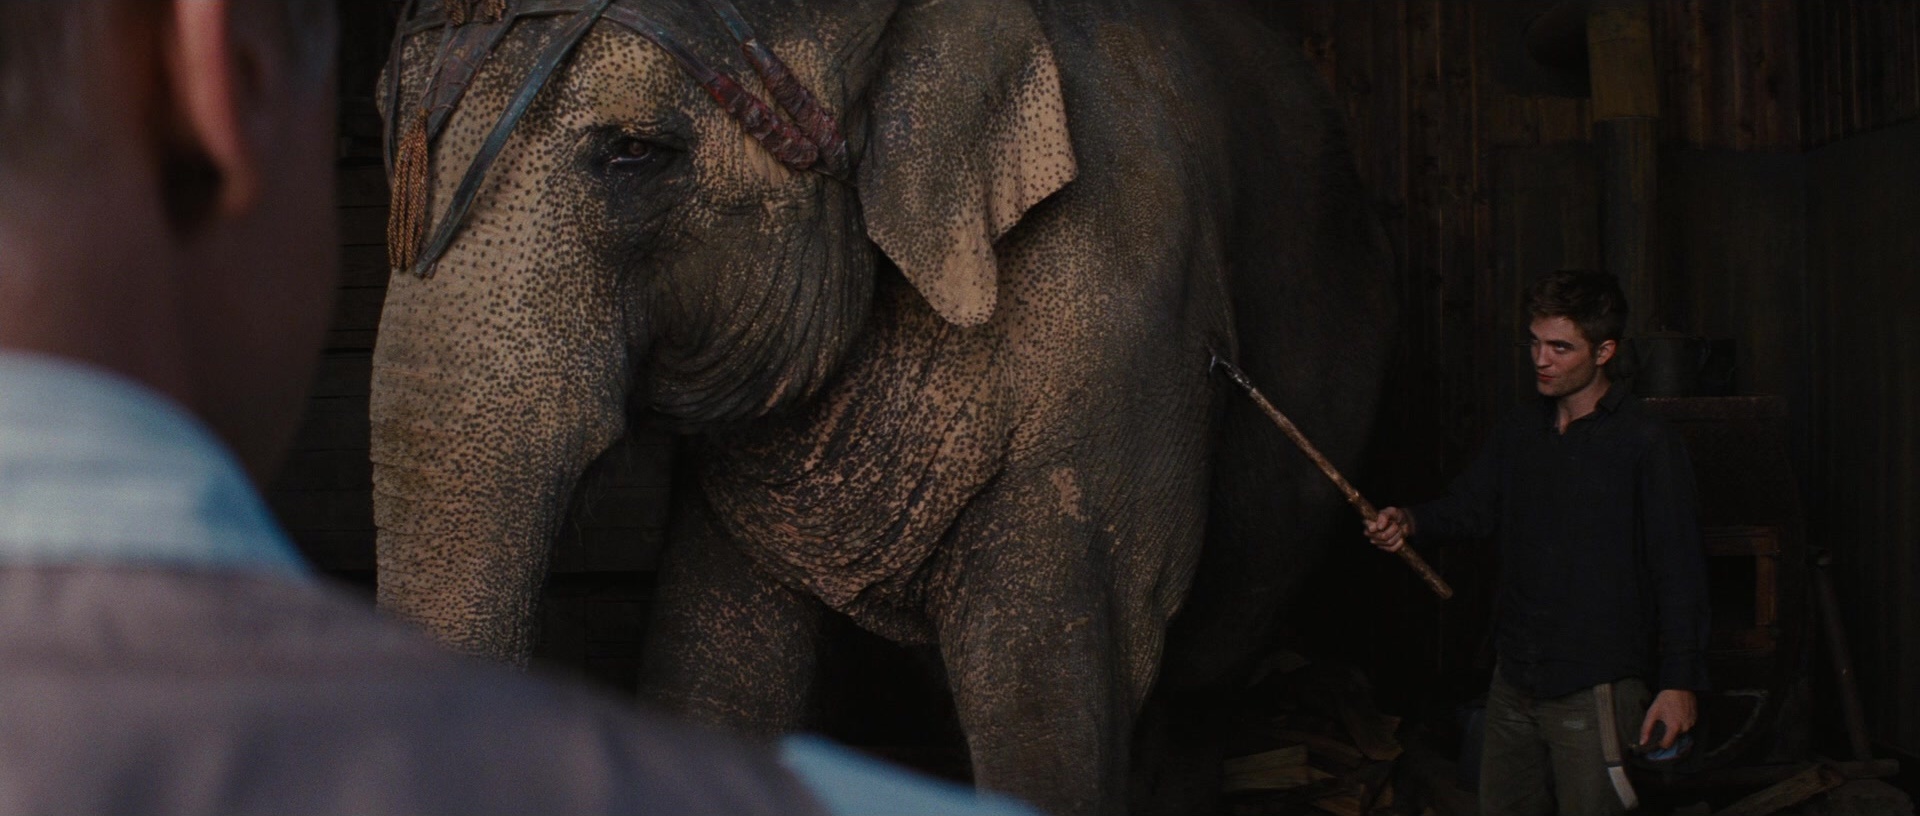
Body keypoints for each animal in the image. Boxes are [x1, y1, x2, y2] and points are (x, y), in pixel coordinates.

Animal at [370, 0, 1393, 813]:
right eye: (385, 119)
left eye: (633, 151)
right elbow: (715, 673)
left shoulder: (1122, 351)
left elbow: (1048, 709)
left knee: (1199, 686)